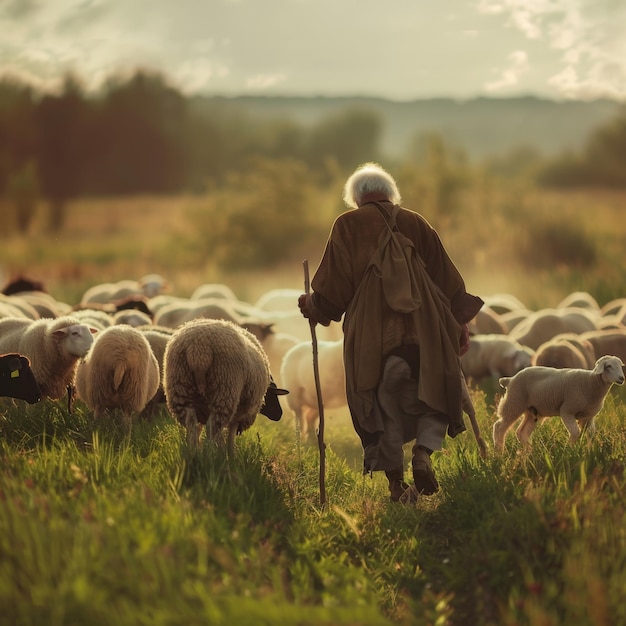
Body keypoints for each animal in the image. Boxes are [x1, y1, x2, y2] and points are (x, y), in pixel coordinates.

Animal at [162, 316, 286, 448]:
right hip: (224, 390)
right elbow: (231, 434)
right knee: (213, 428)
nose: (279, 414)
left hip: (181, 388)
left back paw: (194, 450)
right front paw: (231, 451)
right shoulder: (241, 413)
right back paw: (214, 451)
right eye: (272, 395)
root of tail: (198, 351)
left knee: (191, 425)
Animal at [492, 354, 620, 450]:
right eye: (608, 366)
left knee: (521, 432)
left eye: (620, 365)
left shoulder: (588, 416)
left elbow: (590, 435)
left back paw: (528, 452)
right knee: (499, 427)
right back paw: (499, 452)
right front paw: (569, 450)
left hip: (532, 412)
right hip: (514, 403)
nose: (621, 378)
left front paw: (589, 452)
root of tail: (510, 379)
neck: (590, 382)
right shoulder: (567, 411)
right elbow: (575, 432)